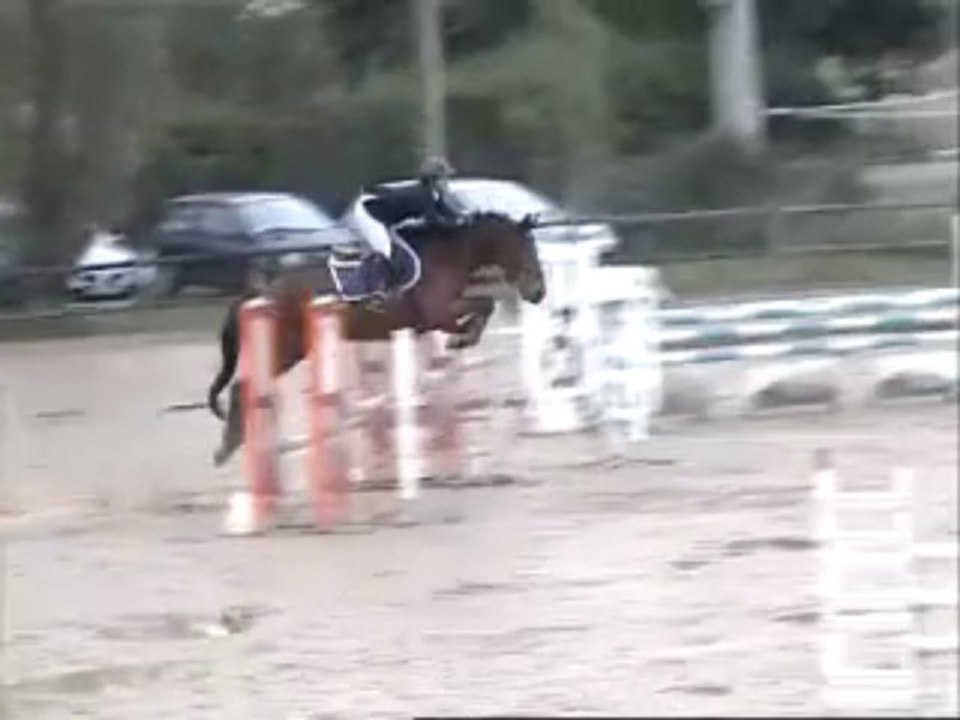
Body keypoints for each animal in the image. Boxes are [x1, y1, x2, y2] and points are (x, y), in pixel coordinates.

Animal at [207, 210, 546, 467]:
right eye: (525, 249)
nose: (538, 293)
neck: (448, 255)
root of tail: (260, 293)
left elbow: (484, 306)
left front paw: (461, 339)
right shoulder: (436, 314)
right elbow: (483, 305)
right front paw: (462, 339)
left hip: (292, 349)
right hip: (285, 347)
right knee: (243, 386)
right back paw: (228, 447)